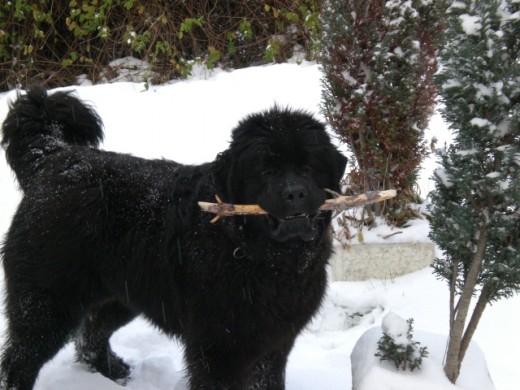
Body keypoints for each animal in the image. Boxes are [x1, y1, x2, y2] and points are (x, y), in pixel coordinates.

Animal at [2, 87, 348, 388]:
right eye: (266, 171)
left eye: (308, 168)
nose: (295, 193)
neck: (255, 253)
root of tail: (55, 159)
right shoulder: (219, 348)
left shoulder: (275, 342)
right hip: (47, 301)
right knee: (19, 359)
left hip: (124, 291)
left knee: (92, 331)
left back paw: (112, 370)